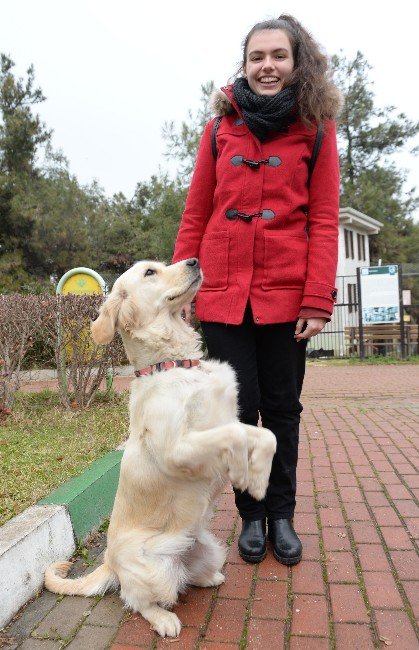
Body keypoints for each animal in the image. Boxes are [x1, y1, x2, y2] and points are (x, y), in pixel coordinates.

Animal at [45, 256, 276, 632]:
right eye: (150, 272)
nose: (195, 260)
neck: (174, 363)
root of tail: (109, 562)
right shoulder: (177, 450)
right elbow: (238, 435)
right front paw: (247, 475)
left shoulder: (227, 418)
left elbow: (264, 434)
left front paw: (255, 478)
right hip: (152, 567)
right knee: (136, 599)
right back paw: (164, 619)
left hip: (208, 548)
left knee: (187, 576)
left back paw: (208, 577)